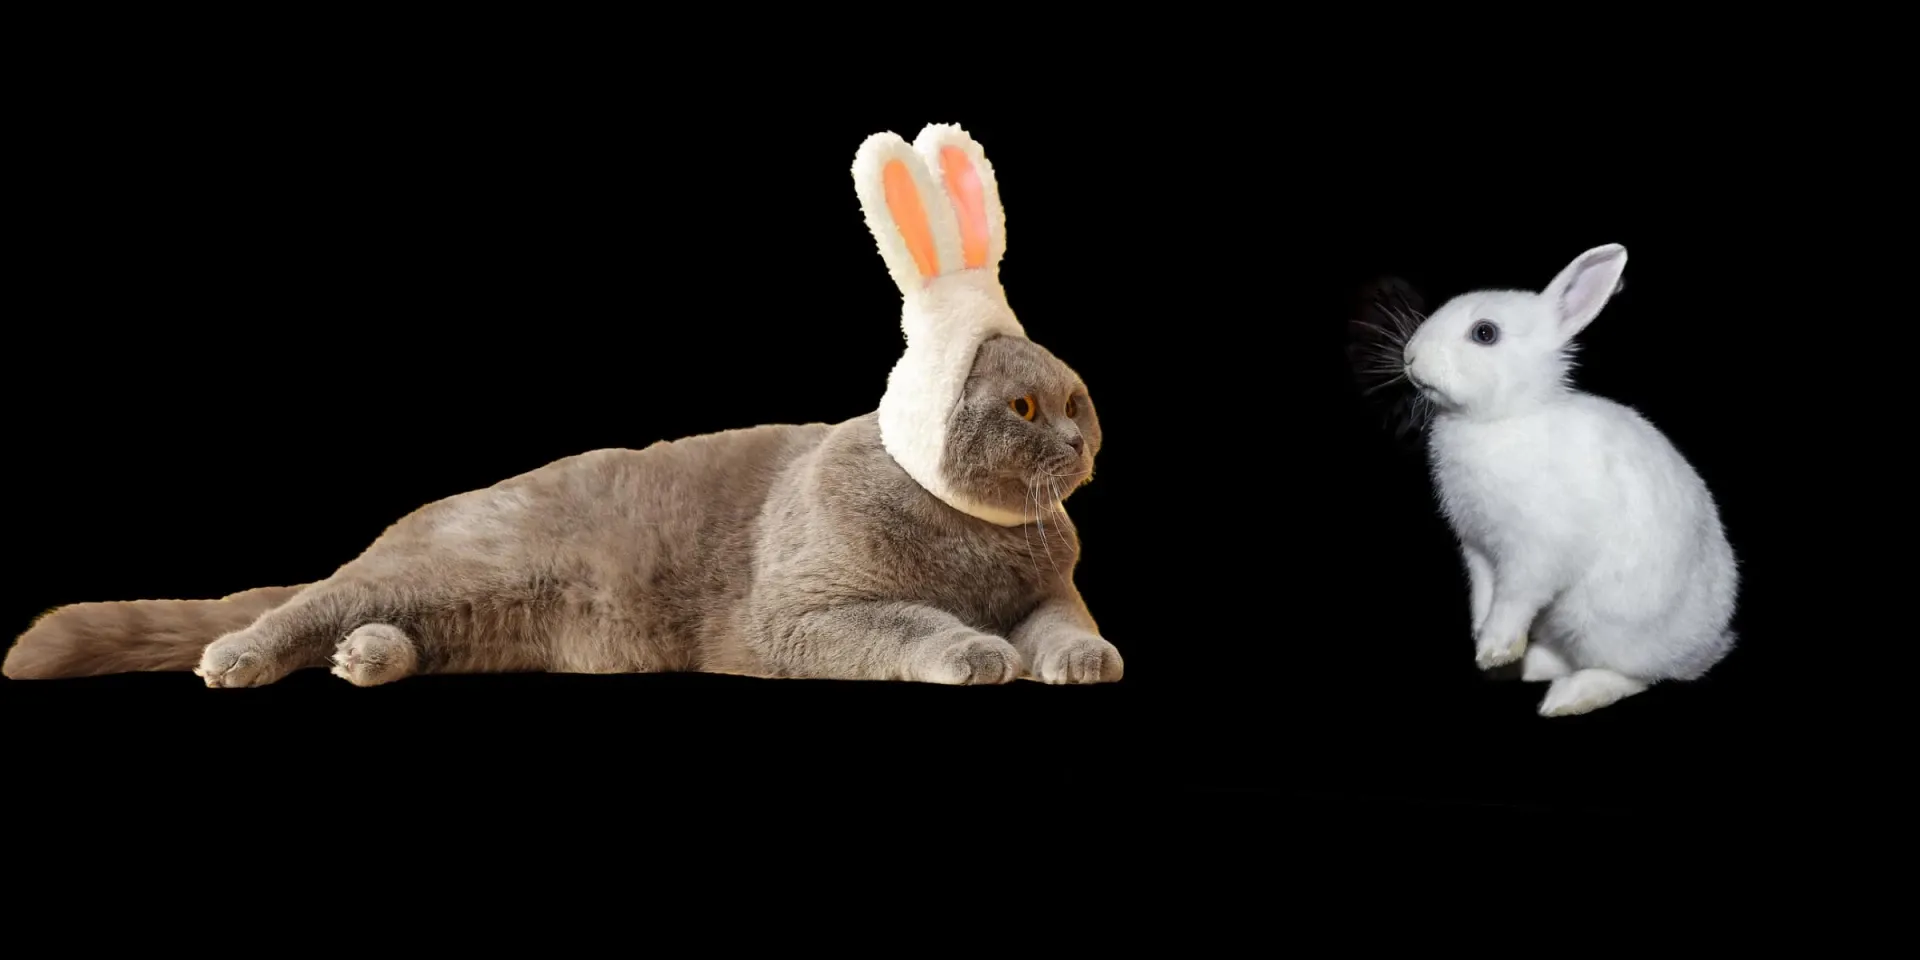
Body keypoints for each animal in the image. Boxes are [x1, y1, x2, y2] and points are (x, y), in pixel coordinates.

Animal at [1401, 244, 1739, 717]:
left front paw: (1494, 650)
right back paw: (1529, 666)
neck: (1504, 418)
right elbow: (1484, 594)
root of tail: (1707, 646)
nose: (1410, 356)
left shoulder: (1534, 553)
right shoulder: (1479, 548)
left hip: (1604, 625)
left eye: (1485, 333)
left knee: (1636, 674)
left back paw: (1568, 696)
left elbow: (1515, 598)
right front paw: (1488, 643)